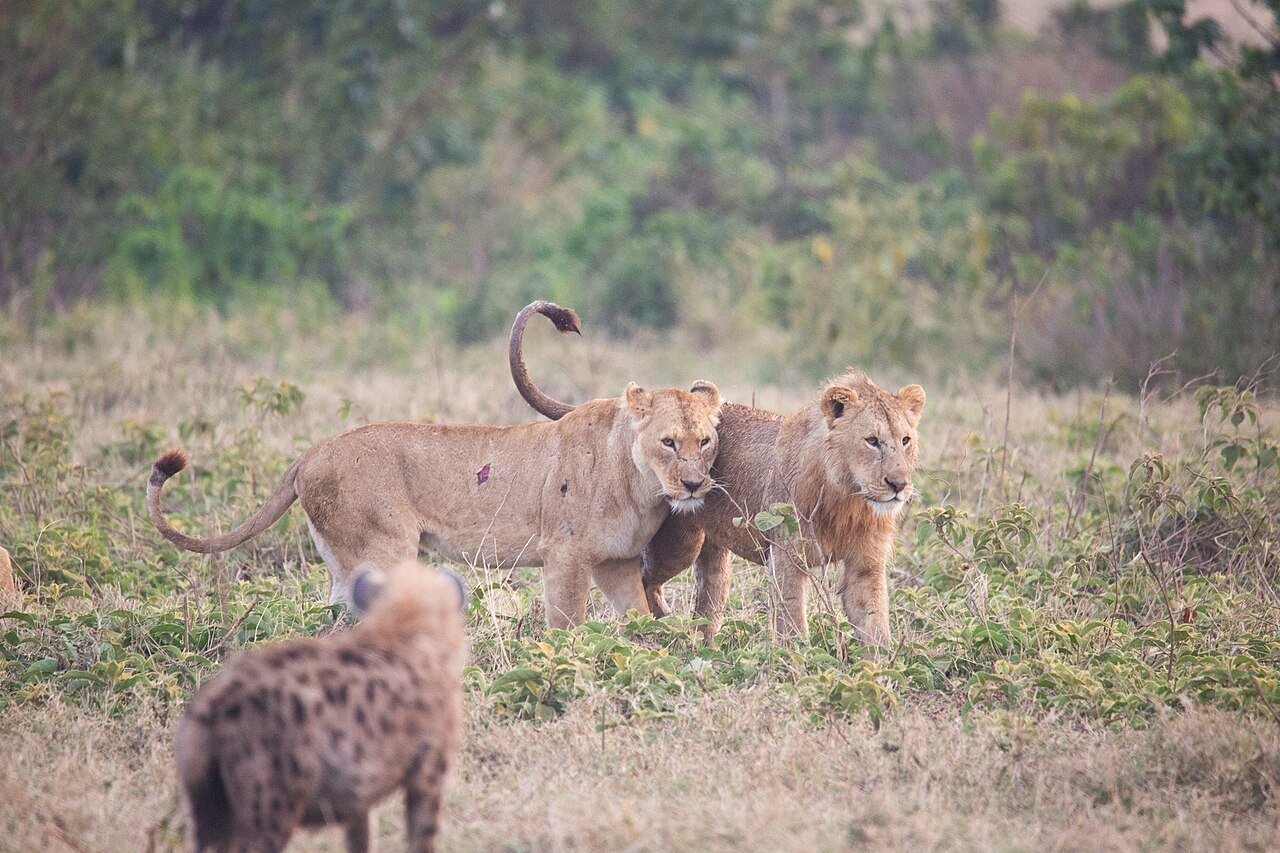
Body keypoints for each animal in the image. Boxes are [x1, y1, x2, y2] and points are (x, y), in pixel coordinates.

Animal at [148, 335, 722, 628]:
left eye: (706, 441)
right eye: (669, 442)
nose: (695, 485)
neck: (640, 483)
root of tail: (312, 451)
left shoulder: (616, 563)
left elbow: (641, 624)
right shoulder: (565, 556)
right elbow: (567, 629)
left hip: (341, 563)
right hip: (385, 550)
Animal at [176, 560, 467, 852]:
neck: (406, 629)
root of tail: (214, 706)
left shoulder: (359, 785)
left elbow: (361, 835)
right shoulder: (431, 766)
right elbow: (424, 835)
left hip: (209, 801)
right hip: (272, 796)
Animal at [509, 301, 924, 646]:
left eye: (905, 440)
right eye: (872, 440)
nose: (898, 485)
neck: (848, 497)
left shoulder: (866, 562)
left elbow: (874, 622)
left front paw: (883, 671)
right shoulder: (787, 554)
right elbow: (792, 619)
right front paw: (799, 664)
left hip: (713, 550)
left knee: (706, 601)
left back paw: (702, 646)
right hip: (677, 542)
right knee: (643, 583)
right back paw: (669, 636)